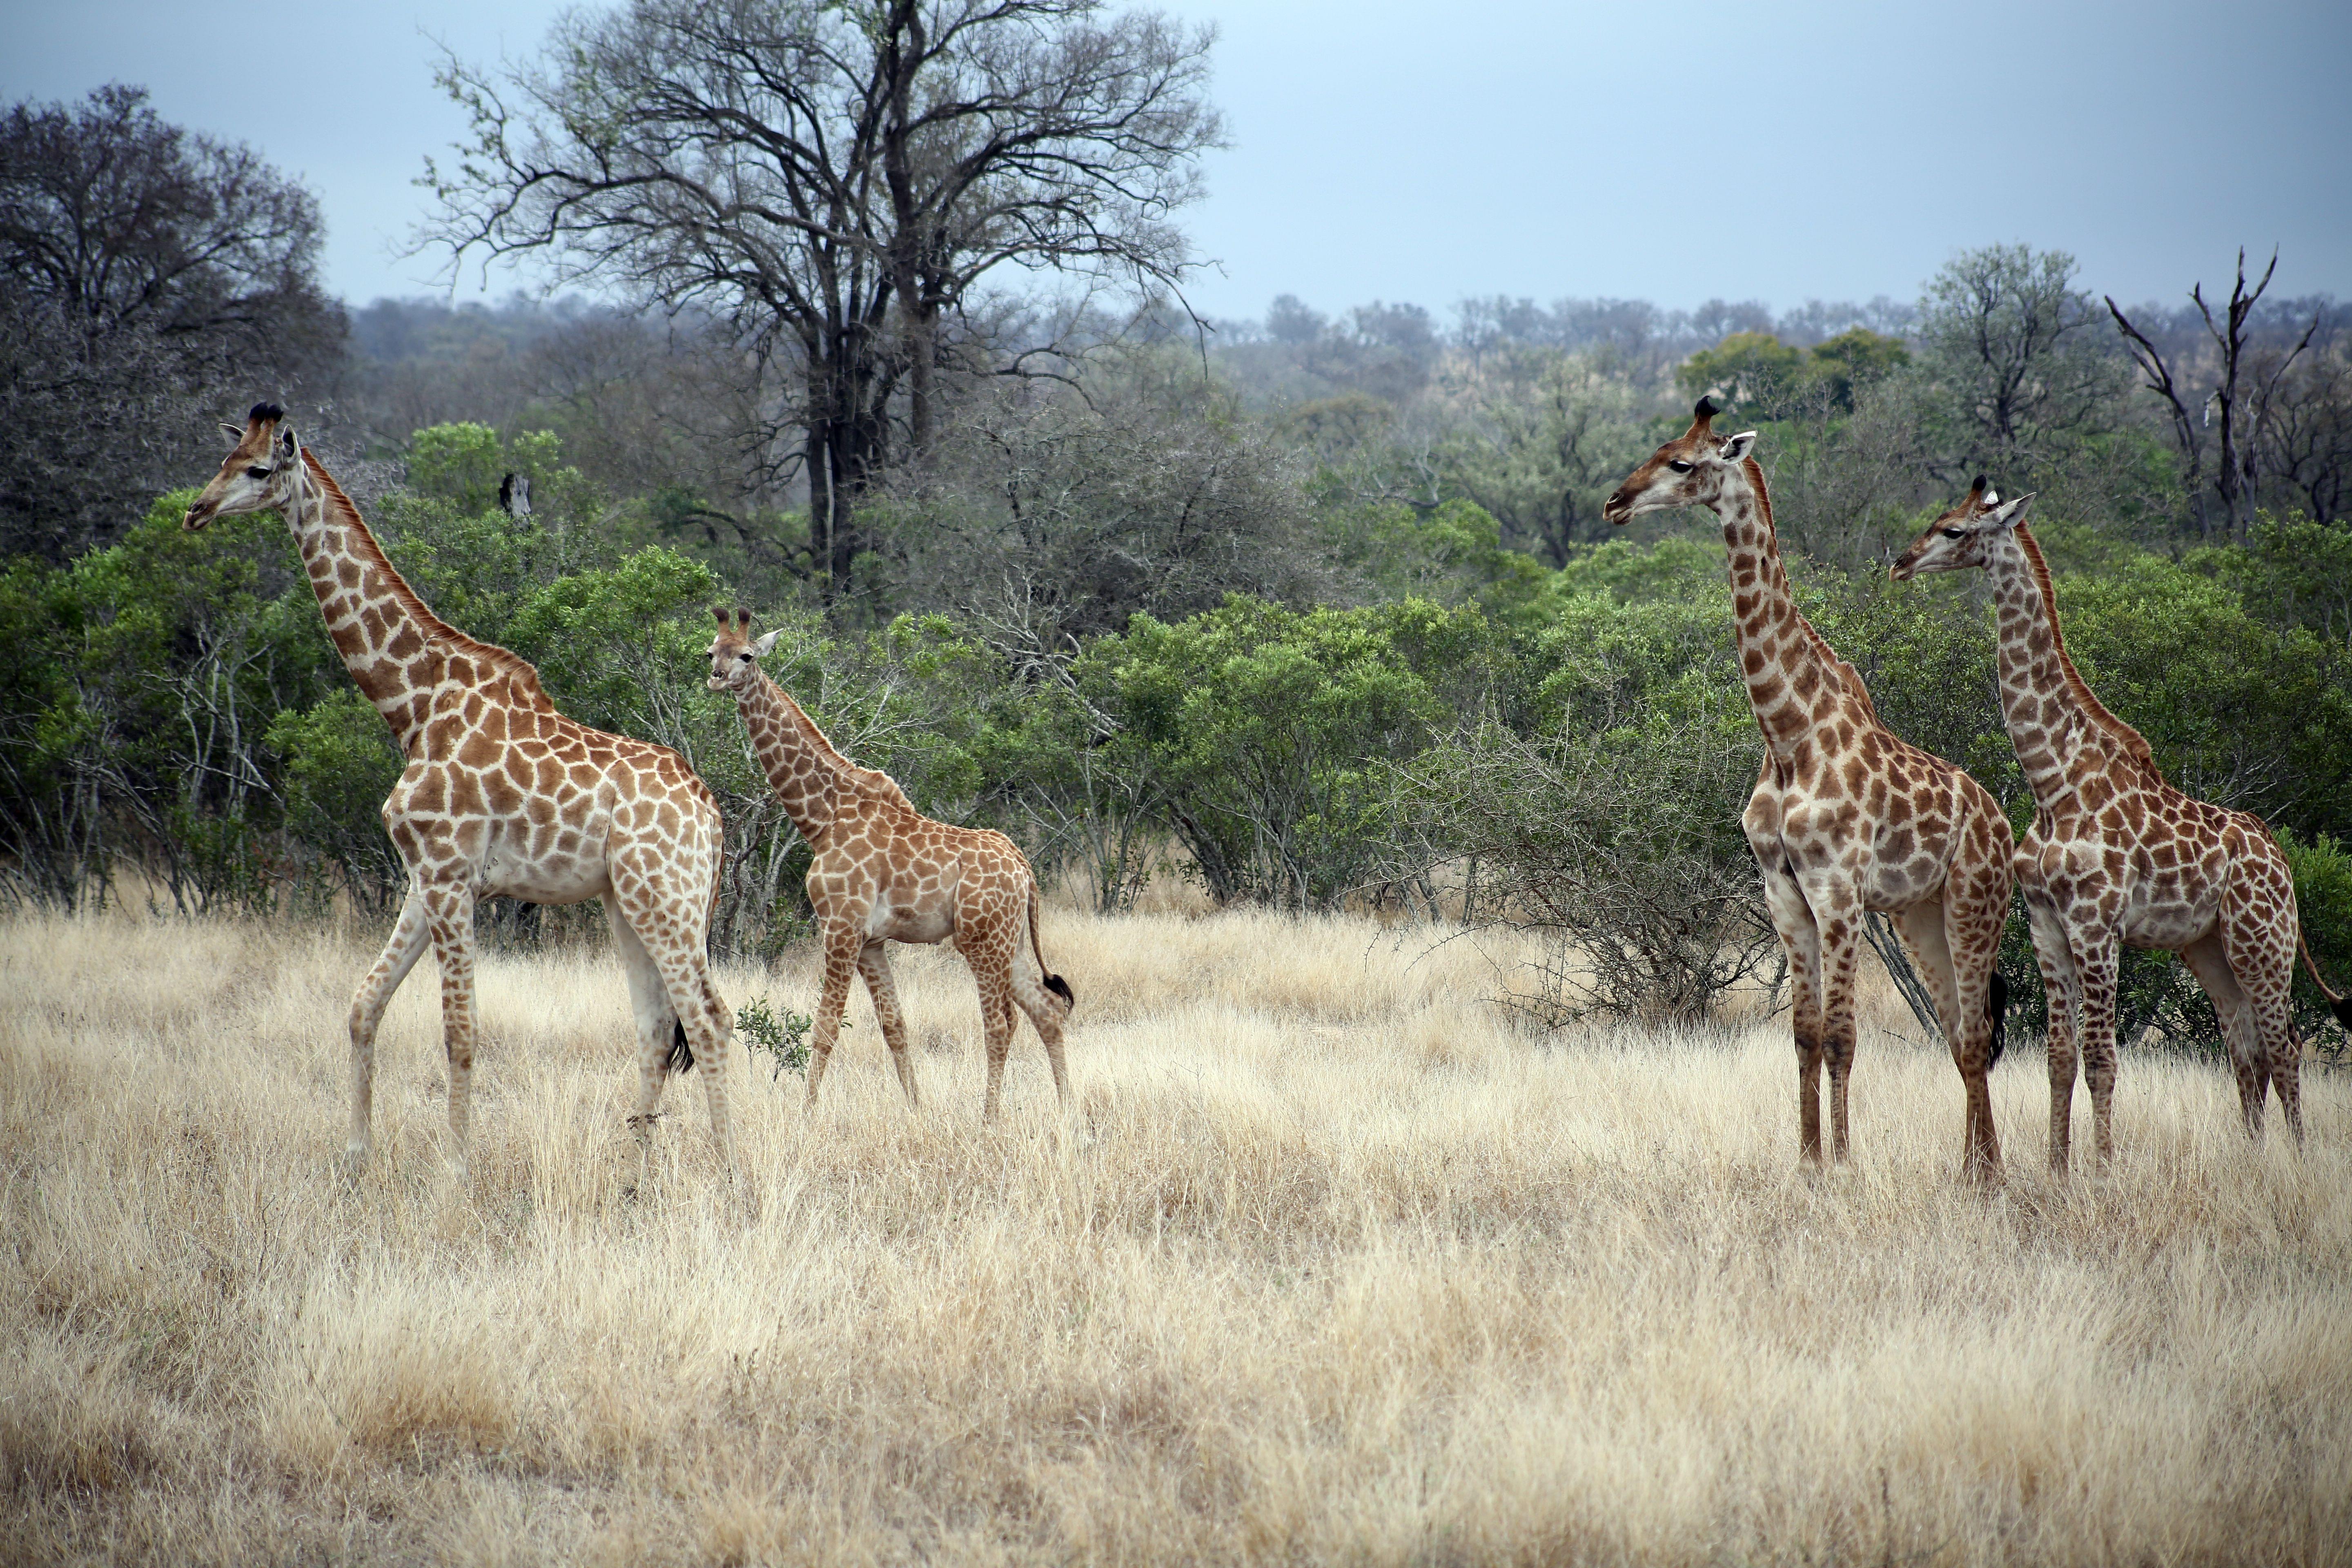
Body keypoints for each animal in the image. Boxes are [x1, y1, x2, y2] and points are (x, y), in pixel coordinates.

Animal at [185, 404, 734, 1189]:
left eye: (260, 470)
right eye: (225, 458)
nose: (196, 512)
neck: (414, 705)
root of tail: (711, 813)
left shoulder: (450, 876)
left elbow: (459, 1031)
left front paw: (455, 1172)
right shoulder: (424, 878)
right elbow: (363, 1006)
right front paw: (356, 1160)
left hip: (667, 898)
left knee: (711, 1021)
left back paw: (730, 1175)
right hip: (627, 901)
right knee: (658, 1028)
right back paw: (636, 1179)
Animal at [701, 611, 1077, 1114]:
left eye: (746, 655)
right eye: (710, 651)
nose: (717, 678)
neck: (823, 818)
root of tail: (1026, 871)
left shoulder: (841, 927)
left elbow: (825, 1027)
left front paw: (806, 1114)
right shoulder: (872, 941)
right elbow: (894, 1026)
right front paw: (918, 1108)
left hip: (982, 942)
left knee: (1001, 1025)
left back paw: (990, 1118)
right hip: (1010, 942)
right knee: (1047, 1012)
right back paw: (1068, 1111)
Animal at [1599, 399, 2022, 1171]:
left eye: (1682, 462)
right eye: (1658, 448)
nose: (1615, 503)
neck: (1787, 734)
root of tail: (2002, 823)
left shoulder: (1838, 891)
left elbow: (1841, 1037)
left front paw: (1845, 1164)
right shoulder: (1783, 892)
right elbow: (1802, 1034)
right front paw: (1806, 1163)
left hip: (1975, 904)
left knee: (1977, 1033)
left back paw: (1990, 1174)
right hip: (1919, 916)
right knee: (1960, 1033)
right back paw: (1975, 1171)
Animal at [1891, 482, 2352, 1166]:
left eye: (1954, 531)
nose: (1900, 562)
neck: (2053, 780)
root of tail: (2281, 858)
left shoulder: (2097, 924)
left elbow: (2102, 1059)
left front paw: (2103, 1168)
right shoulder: (2047, 925)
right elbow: (2058, 1058)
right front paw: (2058, 1168)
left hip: (2262, 939)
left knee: (2285, 1045)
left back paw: (2293, 1159)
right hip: (2208, 948)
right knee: (2246, 1048)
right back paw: (2253, 1154)